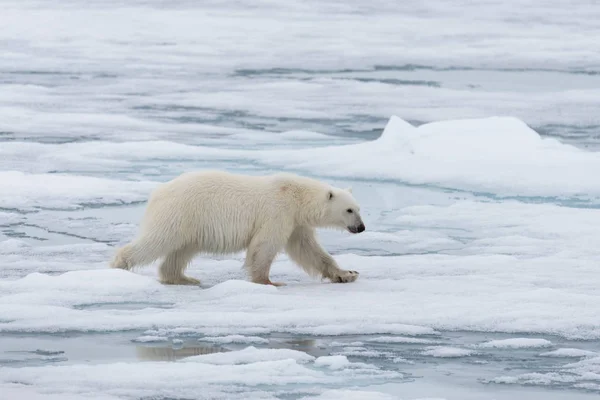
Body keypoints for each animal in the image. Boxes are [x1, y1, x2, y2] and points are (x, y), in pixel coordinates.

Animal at [111, 170, 366, 286]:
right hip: (180, 212)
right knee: (157, 241)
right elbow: (264, 246)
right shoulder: (278, 212)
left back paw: (184, 278)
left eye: (358, 208)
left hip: (191, 225)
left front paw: (347, 274)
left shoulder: (296, 223)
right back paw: (119, 265)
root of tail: (158, 191)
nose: (361, 227)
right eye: (349, 210)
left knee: (181, 251)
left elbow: (309, 250)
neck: (297, 196)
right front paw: (269, 281)